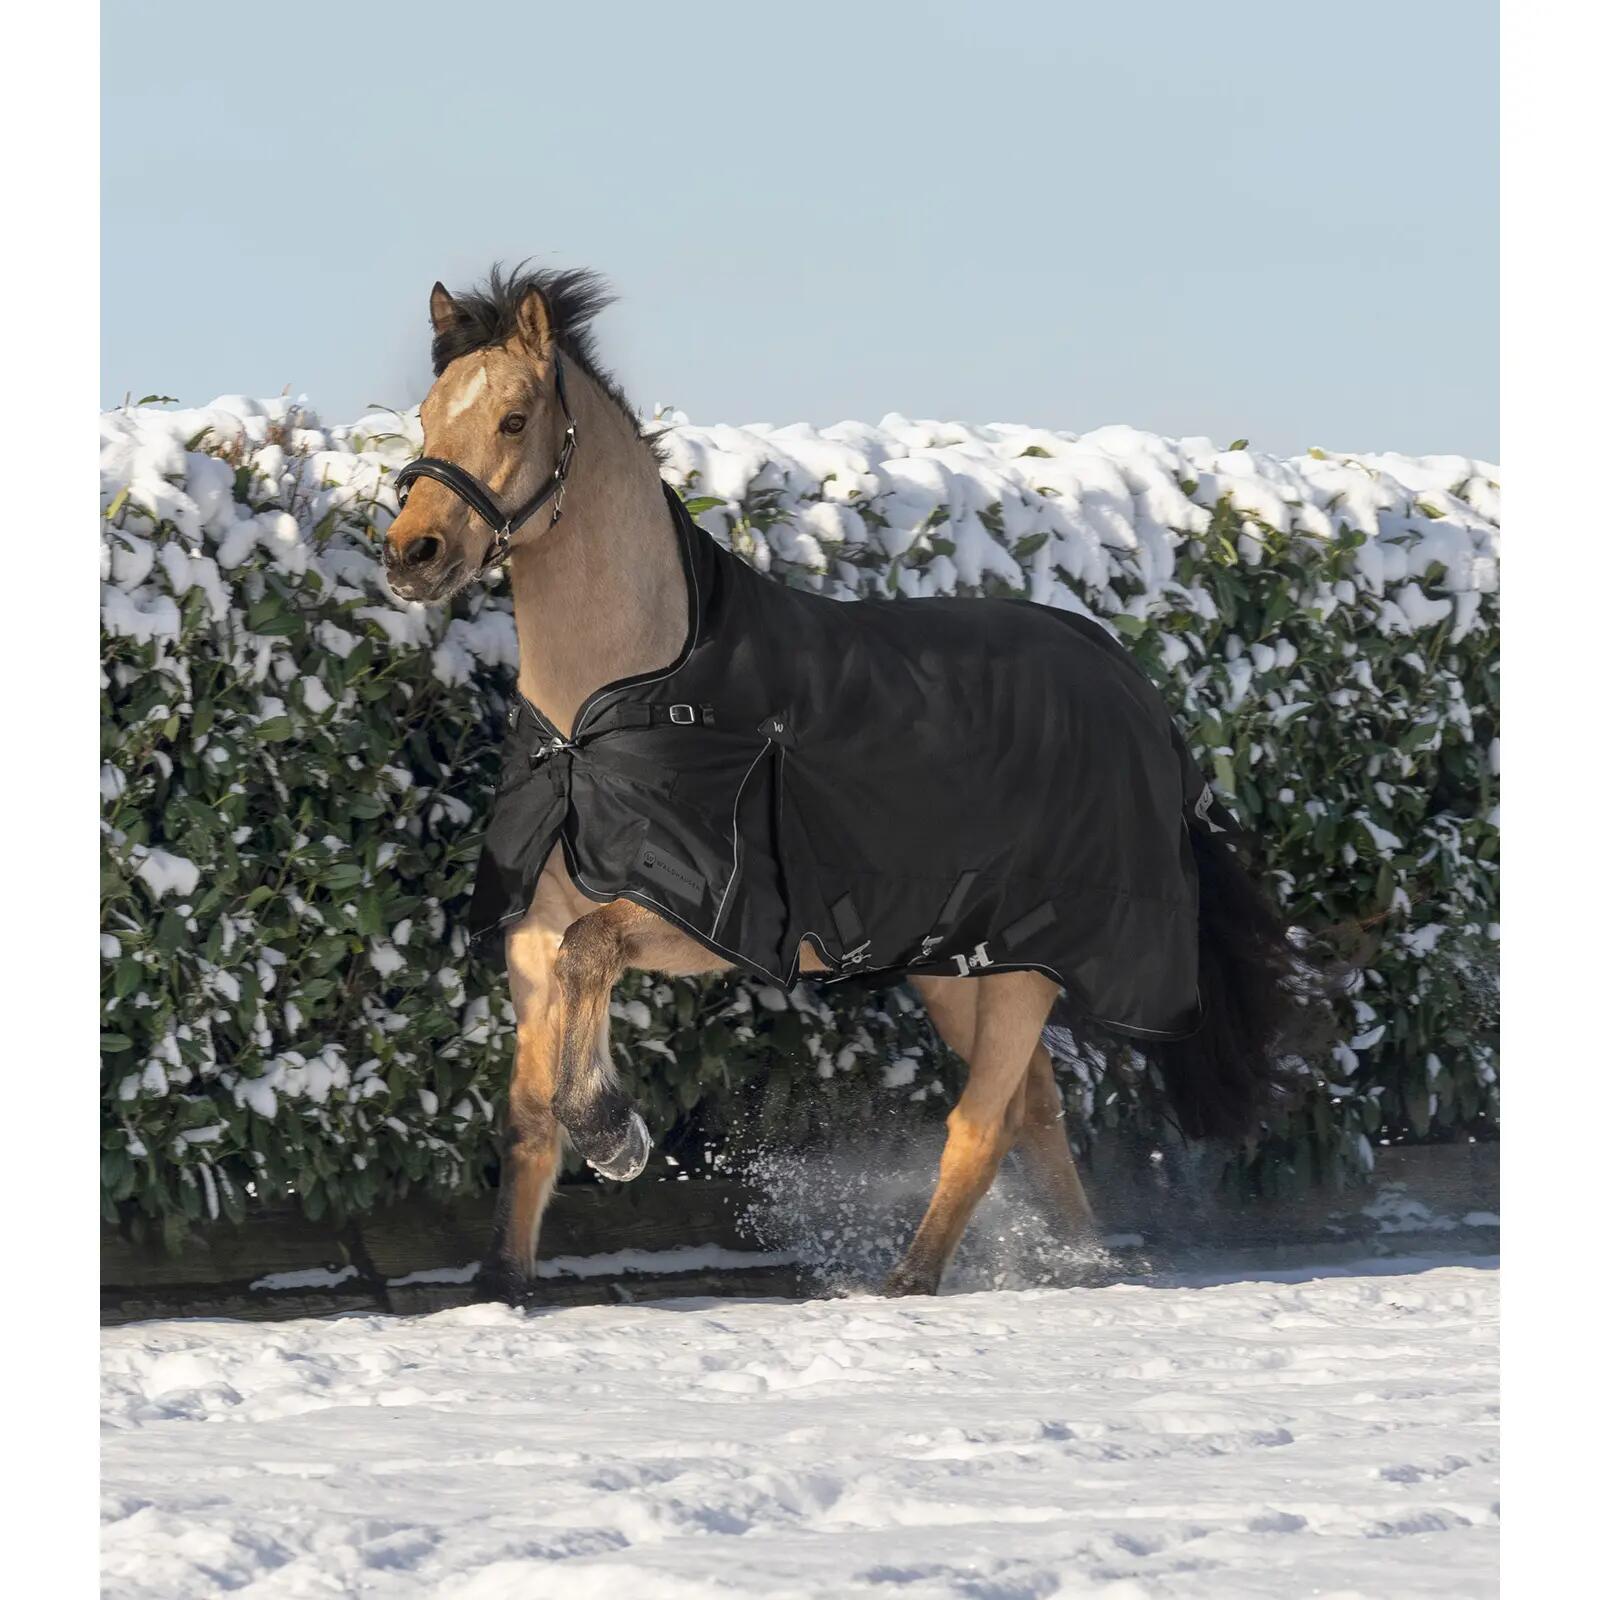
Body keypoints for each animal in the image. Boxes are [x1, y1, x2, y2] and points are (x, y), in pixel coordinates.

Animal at [382, 264, 1309, 1300]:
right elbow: (528, 1115)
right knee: (1035, 1112)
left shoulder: (702, 920)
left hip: (1031, 965)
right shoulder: (531, 932)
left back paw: (911, 1282)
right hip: (959, 964)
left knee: (982, 1124)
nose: (411, 554)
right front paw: (500, 1283)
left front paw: (616, 1138)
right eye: (427, 416)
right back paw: (1081, 1263)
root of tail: (1134, 690)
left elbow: (592, 965)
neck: (609, 713)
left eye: (512, 419)